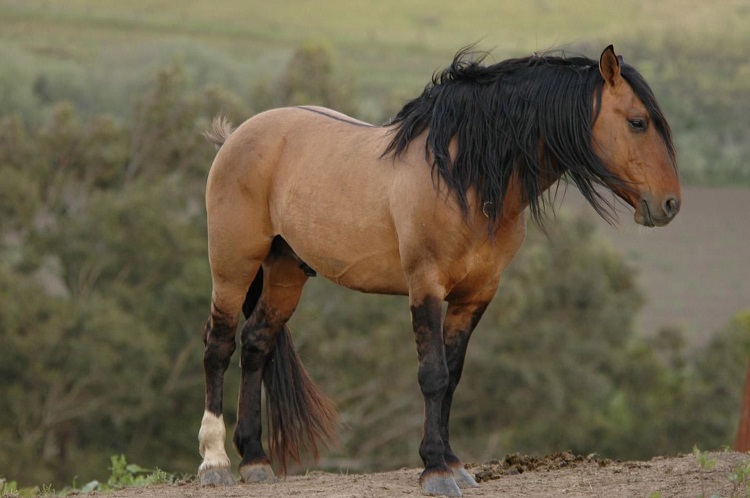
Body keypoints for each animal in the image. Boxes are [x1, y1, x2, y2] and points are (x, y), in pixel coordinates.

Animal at [194, 44, 680, 496]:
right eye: (638, 122)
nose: (670, 204)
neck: (464, 178)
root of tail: (236, 137)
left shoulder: (475, 295)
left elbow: (453, 376)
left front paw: (453, 463)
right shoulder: (425, 287)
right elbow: (433, 376)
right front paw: (434, 470)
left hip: (285, 273)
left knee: (256, 344)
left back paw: (255, 459)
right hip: (232, 268)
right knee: (219, 347)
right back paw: (215, 463)